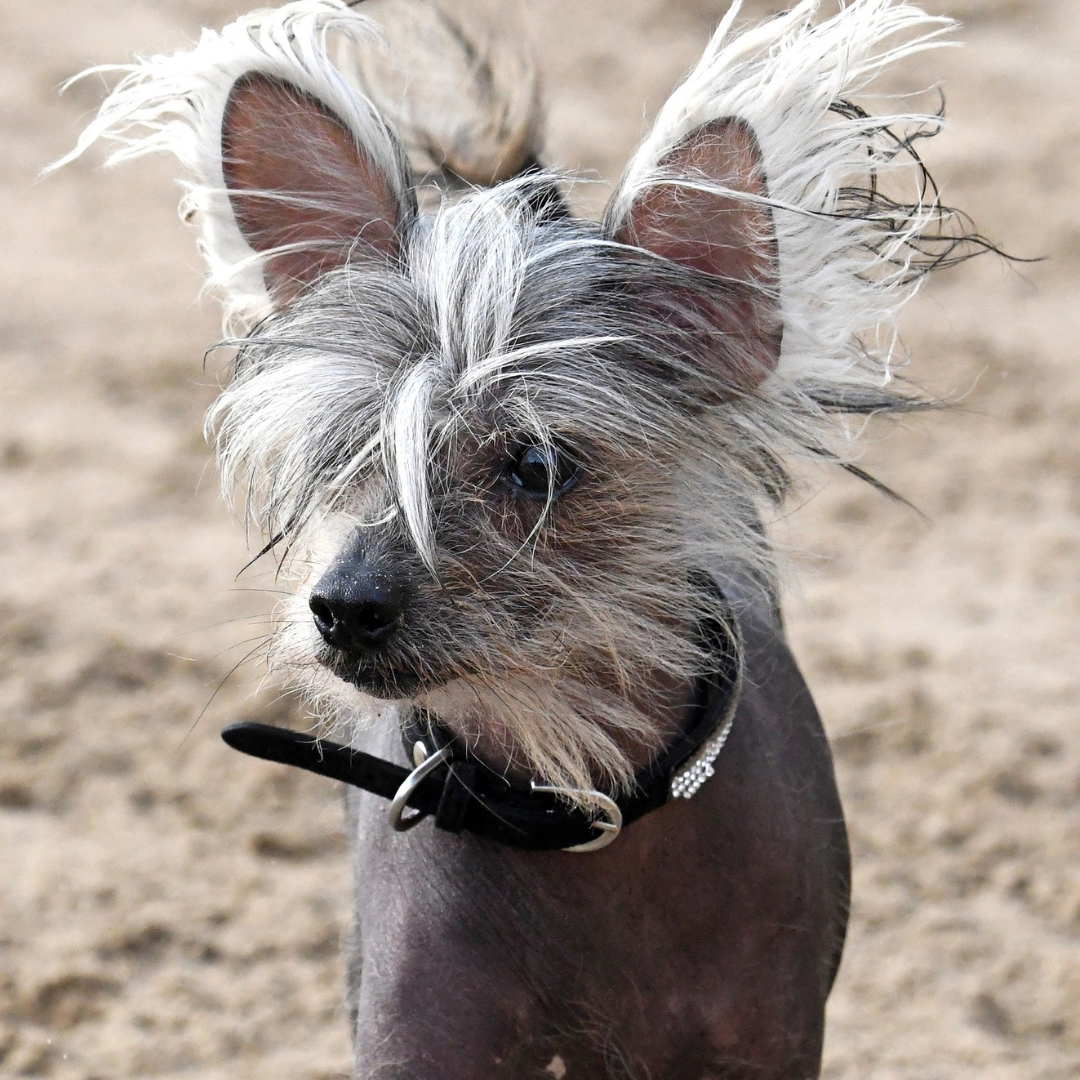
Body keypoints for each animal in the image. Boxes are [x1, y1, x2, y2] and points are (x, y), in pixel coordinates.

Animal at [61, 4, 989, 1075]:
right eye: (349, 450)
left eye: (537, 467)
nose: (342, 606)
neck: (572, 801)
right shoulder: (421, 1037)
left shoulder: (768, 1039)